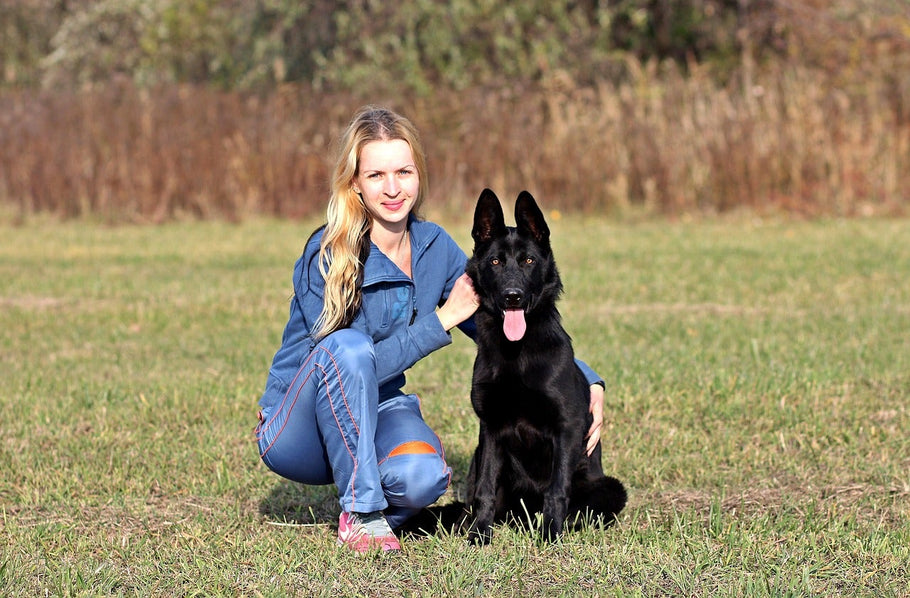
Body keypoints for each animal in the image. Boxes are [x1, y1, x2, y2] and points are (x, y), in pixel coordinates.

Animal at [464, 190, 628, 548]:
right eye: (495, 262)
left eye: (528, 261)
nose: (512, 297)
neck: (516, 350)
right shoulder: (490, 430)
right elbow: (484, 489)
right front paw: (480, 534)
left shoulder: (566, 427)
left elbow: (556, 489)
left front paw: (550, 533)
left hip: (611, 487)